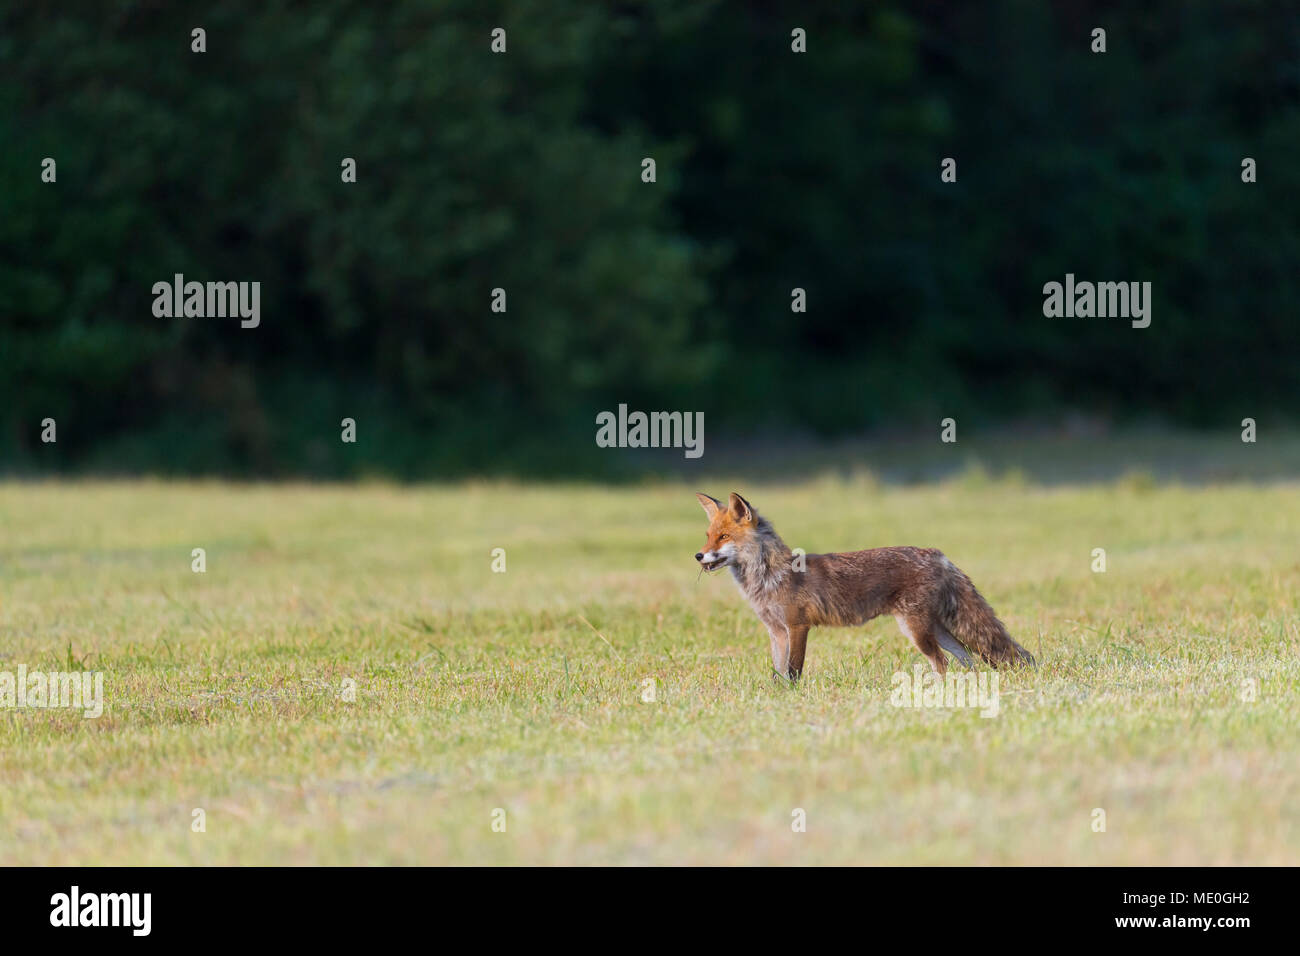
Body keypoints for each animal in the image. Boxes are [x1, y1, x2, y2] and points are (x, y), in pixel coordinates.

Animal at [696, 494, 1029, 681]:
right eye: (708, 536)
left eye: (724, 537)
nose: (698, 556)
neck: (770, 577)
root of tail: (936, 553)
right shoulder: (776, 631)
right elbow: (778, 673)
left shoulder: (798, 625)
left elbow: (794, 670)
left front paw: (793, 697)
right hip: (935, 628)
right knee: (967, 658)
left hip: (917, 630)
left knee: (943, 661)